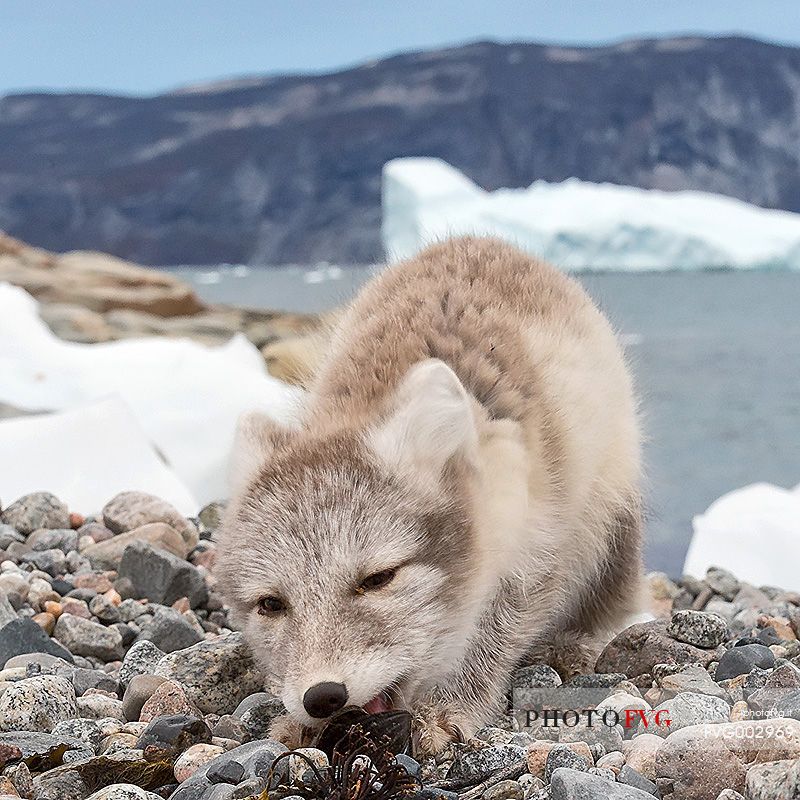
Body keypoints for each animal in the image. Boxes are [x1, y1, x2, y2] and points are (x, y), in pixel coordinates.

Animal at [217, 234, 644, 752]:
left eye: (379, 578)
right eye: (271, 604)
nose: (322, 697)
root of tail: (477, 238)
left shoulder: (537, 543)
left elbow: (492, 635)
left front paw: (448, 707)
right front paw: (296, 724)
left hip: (612, 516)